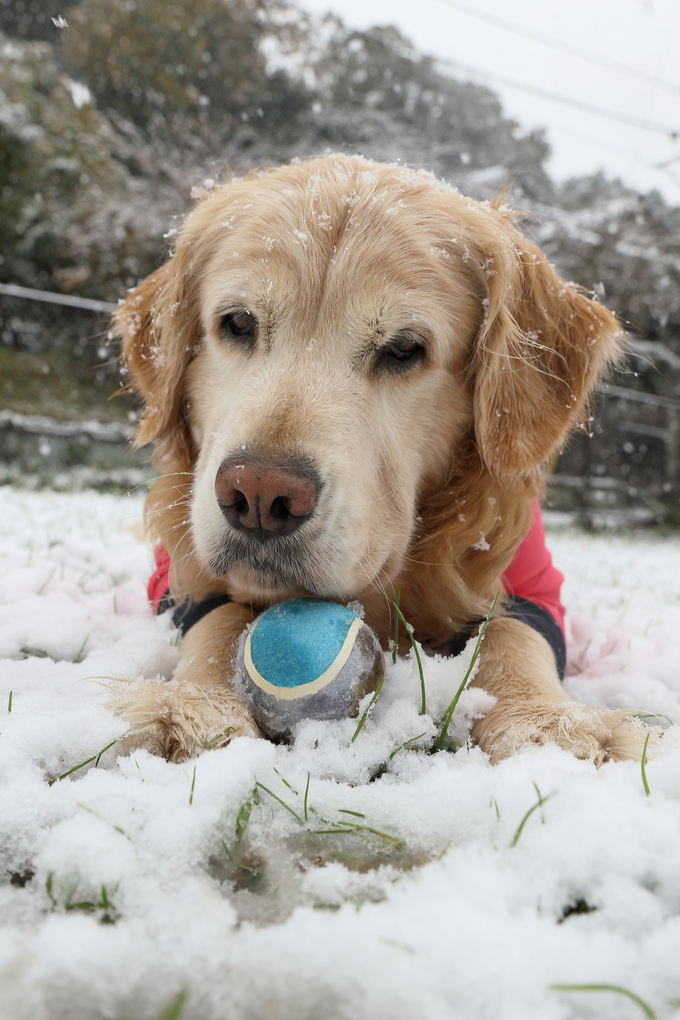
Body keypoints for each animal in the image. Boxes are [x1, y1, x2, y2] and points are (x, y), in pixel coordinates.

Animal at [111, 153, 648, 767]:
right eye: (239, 323)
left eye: (404, 348)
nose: (259, 494)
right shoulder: (183, 579)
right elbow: (219, 615)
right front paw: (194, 707)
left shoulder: (532, 582)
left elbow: (511, 633)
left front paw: (551, 724)